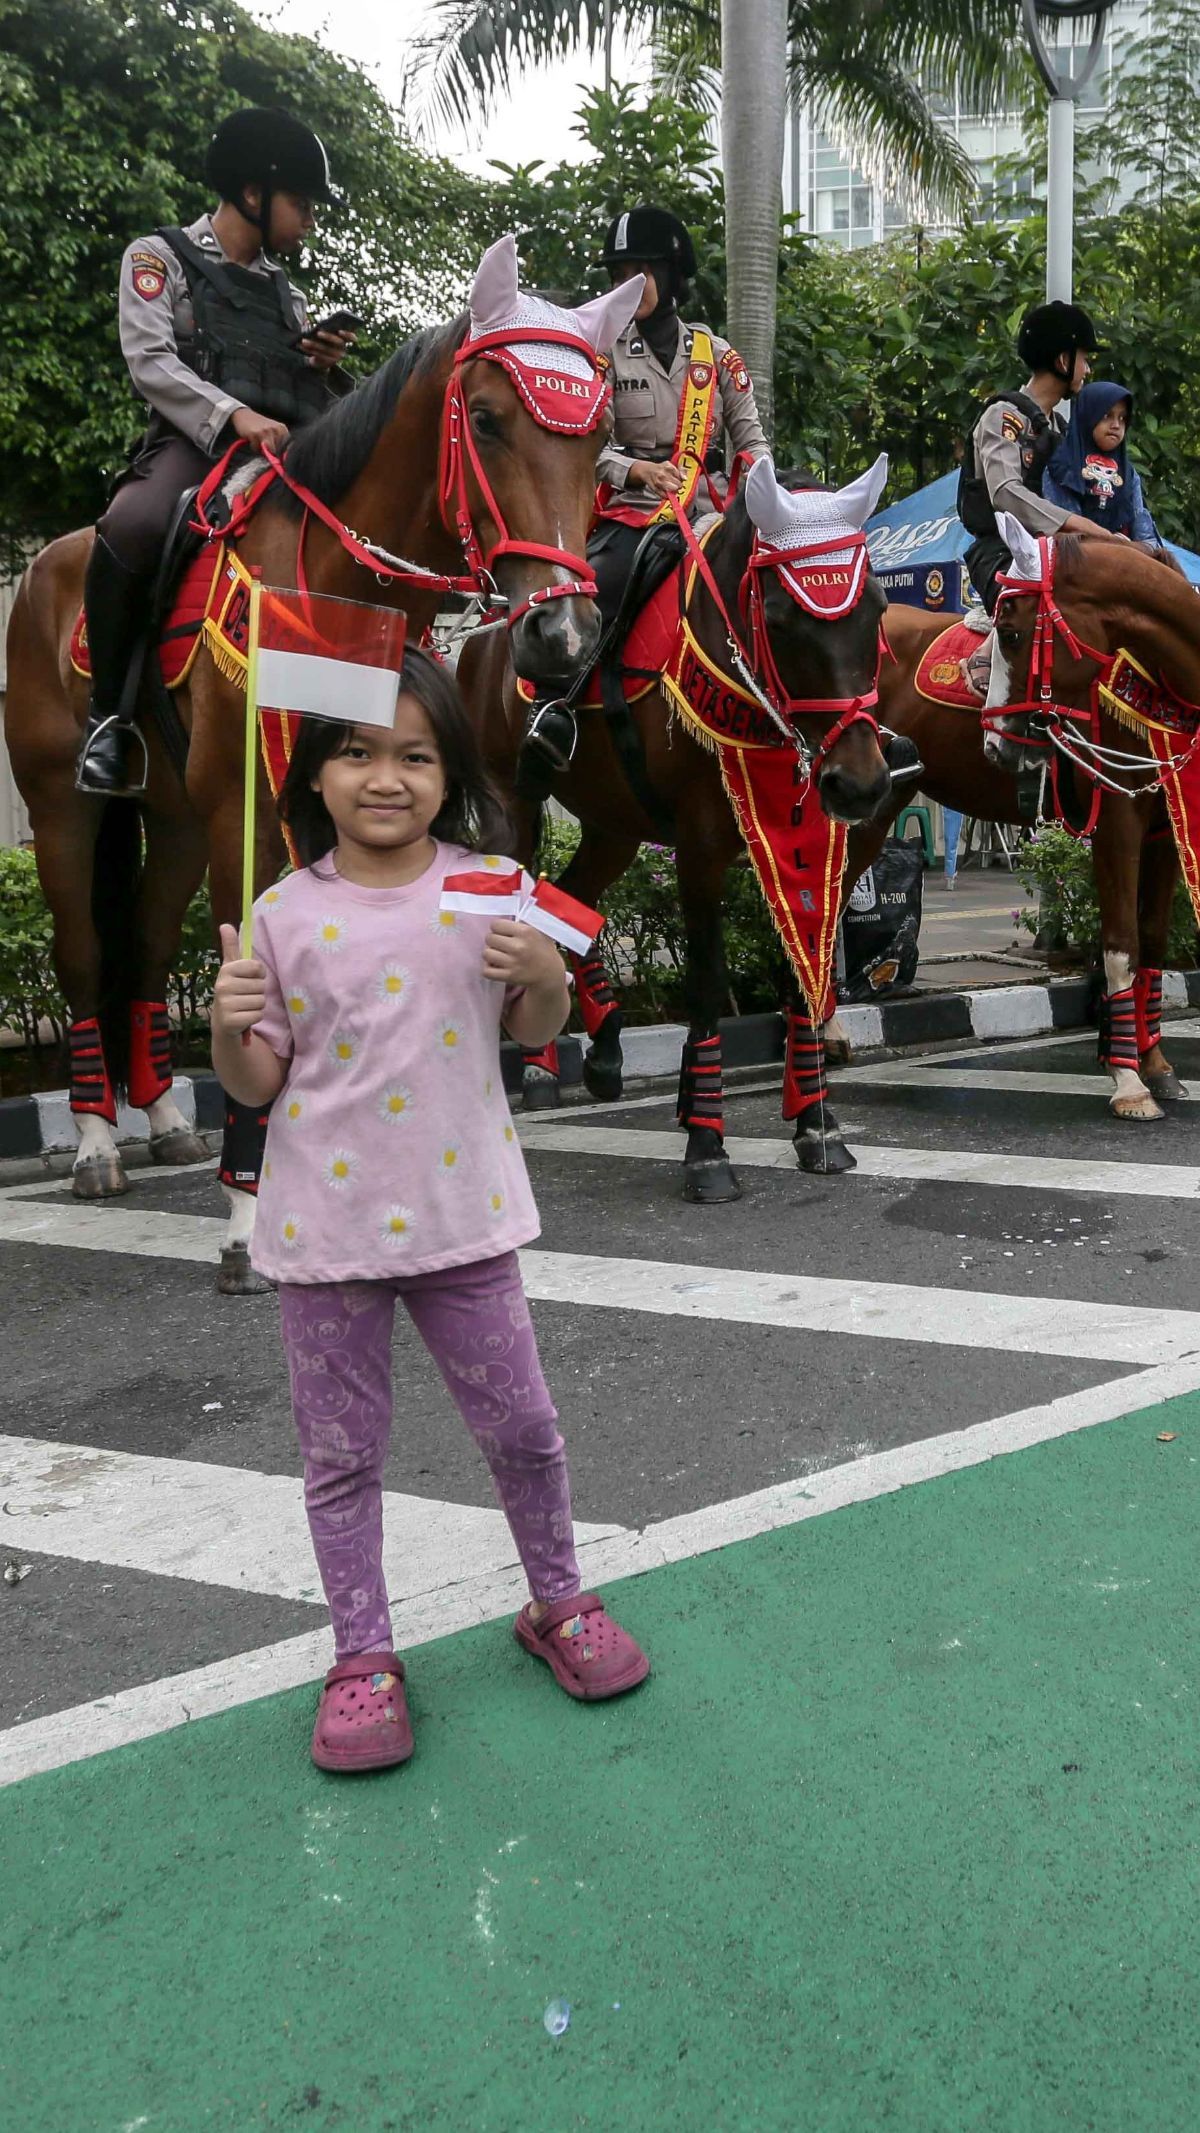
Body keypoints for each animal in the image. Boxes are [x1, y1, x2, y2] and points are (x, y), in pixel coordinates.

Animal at [4, 242, 643, 1271]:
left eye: (596, 445)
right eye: (488, 420)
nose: (563, 636)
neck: (338, 590)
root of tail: (44, 570)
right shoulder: (244, 808)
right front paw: (247, 1209)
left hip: (172, 821)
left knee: (146, 944)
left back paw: (161, 1118)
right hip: (68, 806)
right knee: (84, 949)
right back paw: (98, 1139)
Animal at [460, 454, 890, 1203]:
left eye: (876, 609)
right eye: (782, 615)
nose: (859, 783)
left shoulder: (801, 839)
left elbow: (799, 976)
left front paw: (816, 1125)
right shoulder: (700, 848)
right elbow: (708, 981)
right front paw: (707, 1146)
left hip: (612, 824)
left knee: (574, 897)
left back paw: (602, 1049)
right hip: (511, 808)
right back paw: (538, 1063)